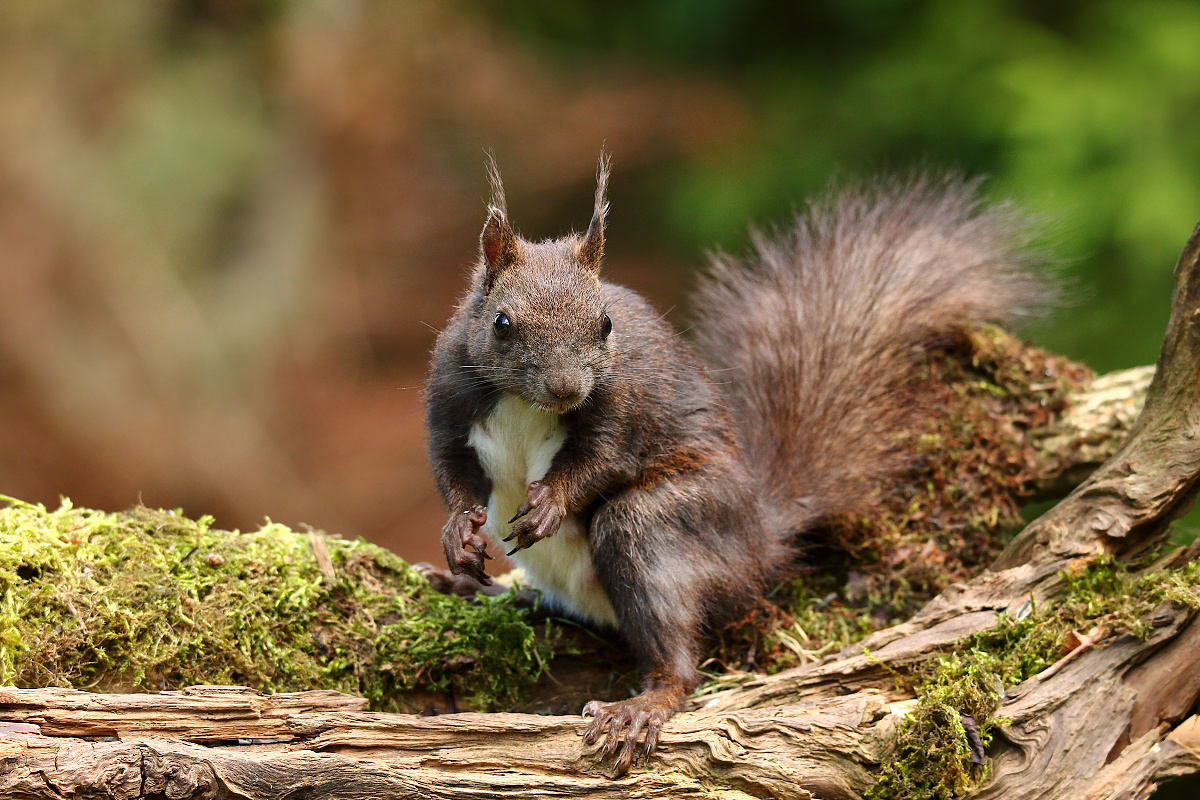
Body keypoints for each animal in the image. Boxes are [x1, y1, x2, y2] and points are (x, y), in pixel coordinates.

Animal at [422, 155, 1051, 777]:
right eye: (501, 323)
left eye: (605, 324)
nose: (567, 389)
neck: (525, 405)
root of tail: (761, 542)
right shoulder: (448, 405)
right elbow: (453, 475)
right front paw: (457, 536)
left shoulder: (623, 407)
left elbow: (601, 460)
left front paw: (549, 503)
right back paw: (482, 590)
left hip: (667, 527)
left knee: (673, 644)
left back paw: (644, 704)